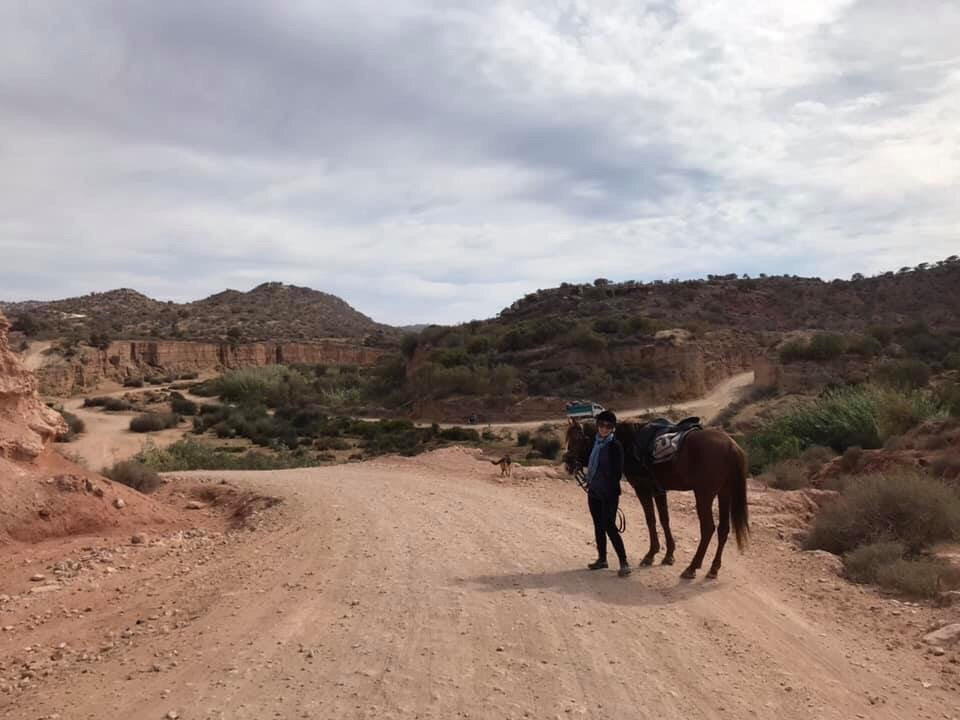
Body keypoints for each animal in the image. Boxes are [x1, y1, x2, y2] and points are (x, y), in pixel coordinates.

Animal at [564, 416, 752, 580]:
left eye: (577, 439)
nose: (568, 463)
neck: (628, 442)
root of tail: (731, 446)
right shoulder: (659, 491)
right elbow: (664, 520)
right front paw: (668, 555)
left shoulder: (643, 489)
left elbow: (651, 519)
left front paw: (650, 554)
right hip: (724, 493)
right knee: (723, 529)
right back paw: (713, 569)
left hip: (704, 495)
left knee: (708, 529)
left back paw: (692, 568)